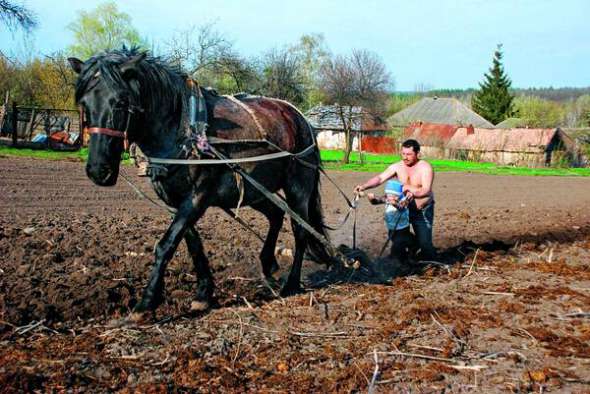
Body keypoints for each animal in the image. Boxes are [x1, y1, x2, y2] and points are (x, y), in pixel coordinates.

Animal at [69, 48, 332, 320]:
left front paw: (146, 304)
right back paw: (268, 264)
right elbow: (192, 244)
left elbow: (166, 245)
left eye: (121, 102)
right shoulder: (175, 201)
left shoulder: (197, 198)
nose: (98, 171)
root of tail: (300, 118)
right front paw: (203, 295)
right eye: (84, 104)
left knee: (301, 231)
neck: (180, 125)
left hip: (298, 187)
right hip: (255, 190)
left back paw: (291, 284)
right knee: (276, 215)